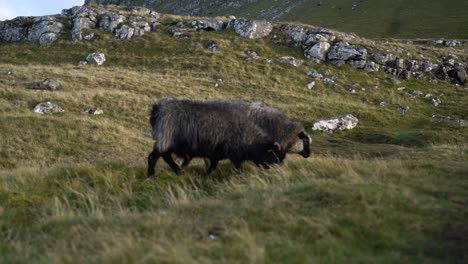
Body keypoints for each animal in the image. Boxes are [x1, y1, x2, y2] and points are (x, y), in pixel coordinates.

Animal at [147, 97, 286, 177]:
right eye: (274, 156)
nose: (278, 173)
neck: (249, 138)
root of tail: (157, 108)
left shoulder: (215, 153)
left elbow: (213, 166)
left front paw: (204, 176)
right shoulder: (233, 153)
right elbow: (237, 167)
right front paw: (241, 177)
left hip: (168, 142)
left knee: (166, 156)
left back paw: (178, 171)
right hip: (166, 139)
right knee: (154, 157)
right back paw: (151, 175)